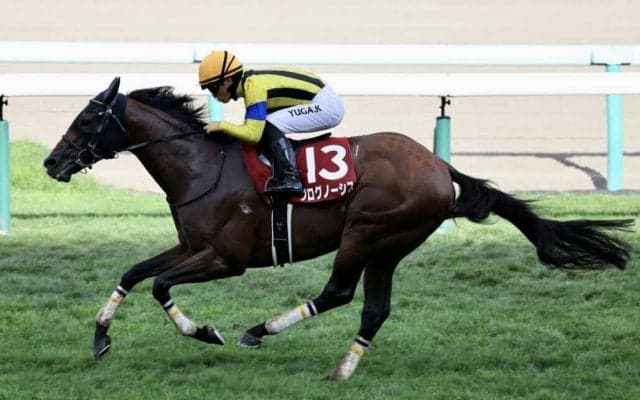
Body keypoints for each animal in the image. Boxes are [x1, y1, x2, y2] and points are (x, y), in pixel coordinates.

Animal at [43, 77, 632, 380]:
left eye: (88, 119)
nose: (51, 164)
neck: (199, 166)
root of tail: (440, 167)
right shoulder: (191, 245)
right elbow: (134, 272)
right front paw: (100, 337)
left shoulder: (226, 259)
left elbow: (161, 285)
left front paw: (204, 331)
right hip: (389, 246)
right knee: (373, 307)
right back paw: (345, 369)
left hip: (369, 233)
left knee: (338, 293)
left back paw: (260, 331)